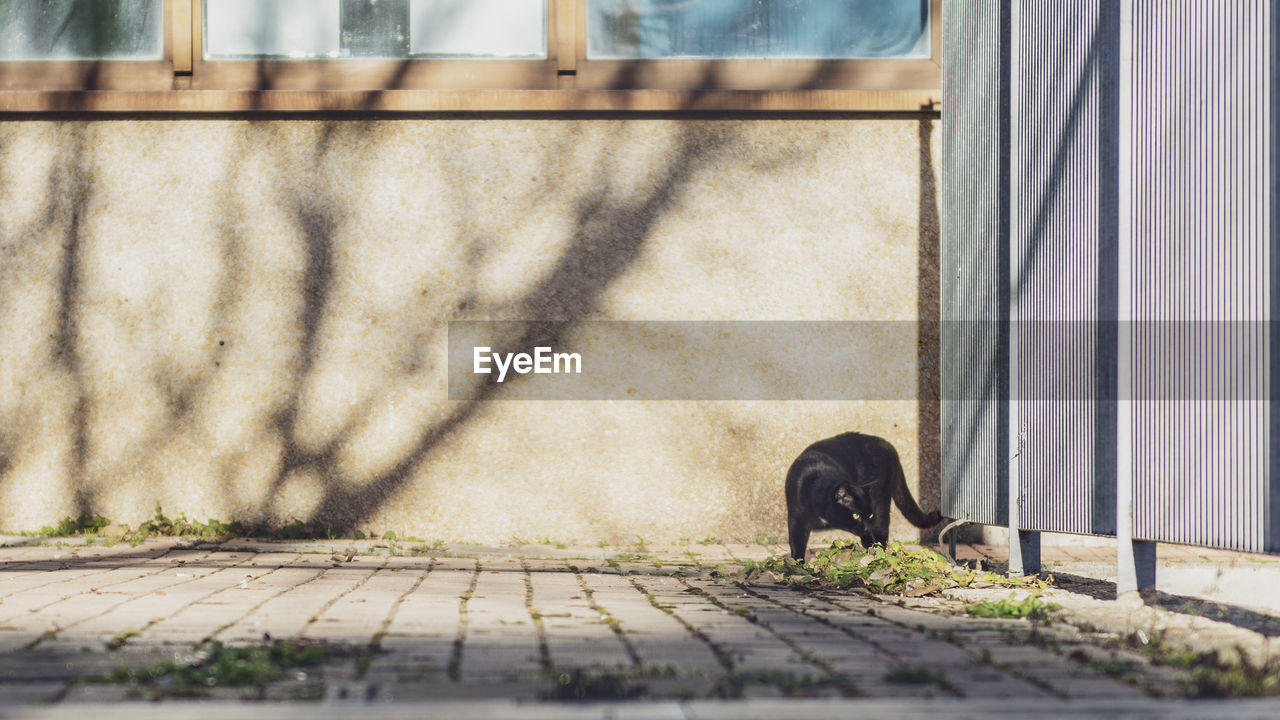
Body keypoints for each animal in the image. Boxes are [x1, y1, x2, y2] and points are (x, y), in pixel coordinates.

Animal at [778, 427, 942, 558]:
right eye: (856, 515)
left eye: (869, 515)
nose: (867, 526)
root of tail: (887, 444)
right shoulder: (796, 518)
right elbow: (796, 545)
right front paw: (798, 567)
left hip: (881, 502)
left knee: (882, 532)